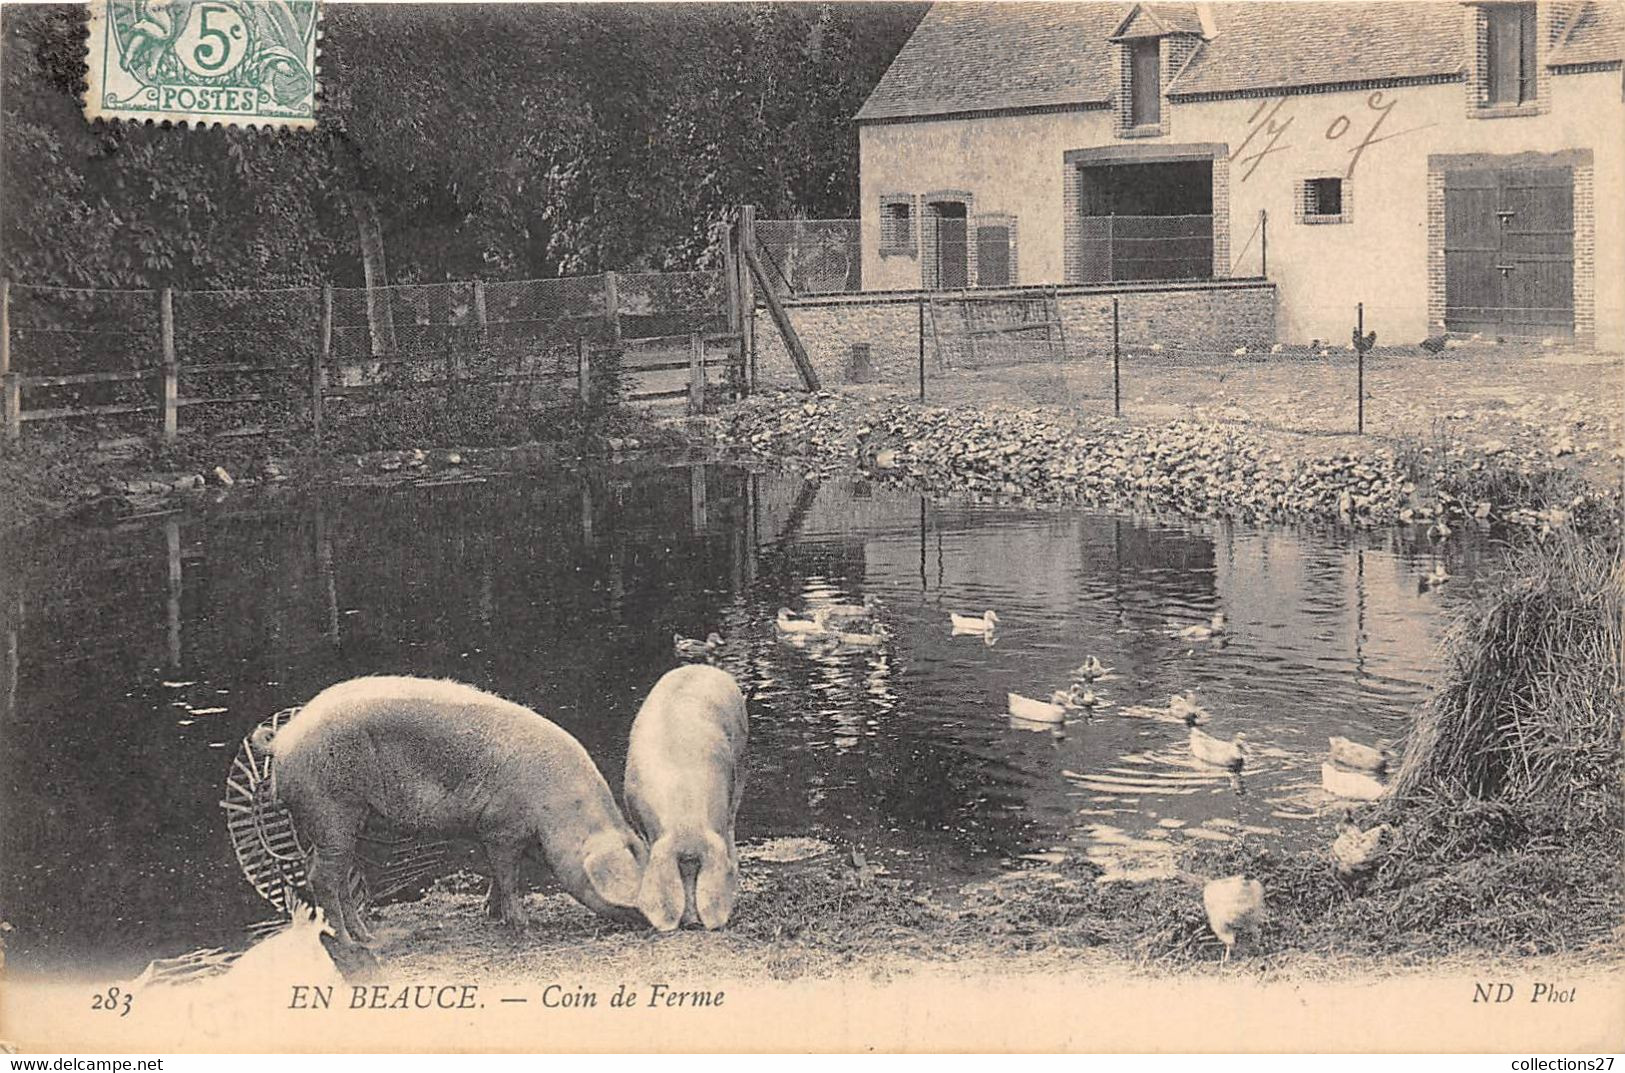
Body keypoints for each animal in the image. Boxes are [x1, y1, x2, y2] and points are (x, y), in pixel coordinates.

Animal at [256, 676, 643, 942]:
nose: (657, 923)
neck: (558, 812)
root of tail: (283, 739)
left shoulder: (493, 832)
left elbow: (497, 875)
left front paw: (491, 914)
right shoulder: (502, 827)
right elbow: (508, 876)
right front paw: (521, 927)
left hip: (333, 821)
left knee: (332, 874)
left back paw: (365, 935)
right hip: (331, 808)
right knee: (321, 877)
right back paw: (355, 942)